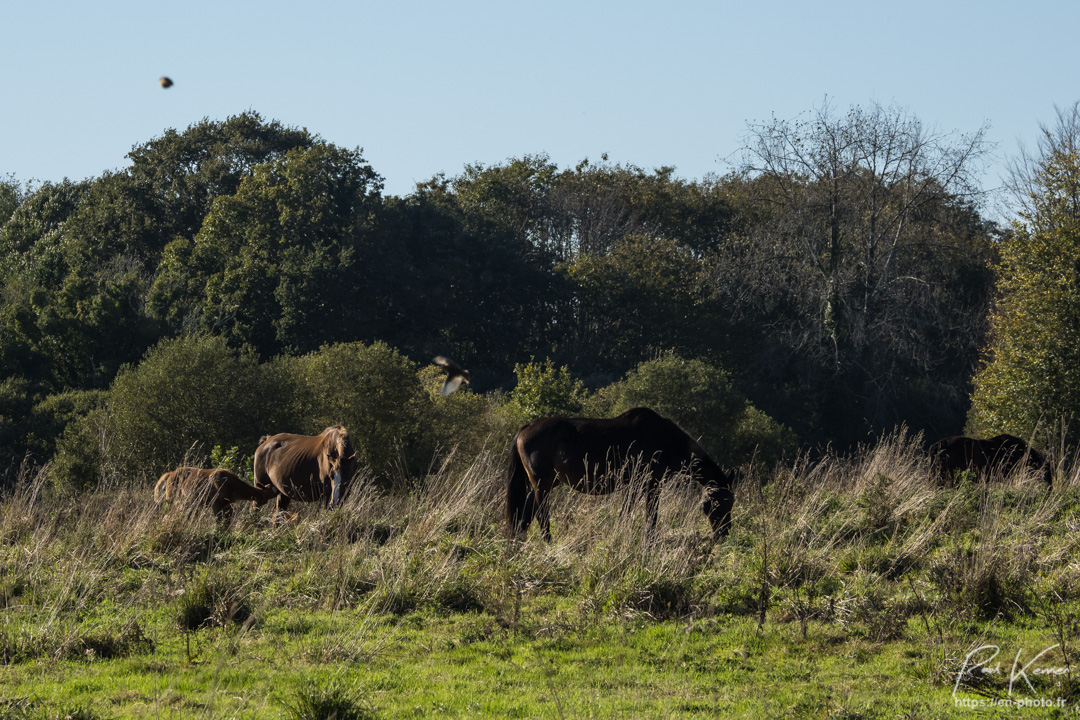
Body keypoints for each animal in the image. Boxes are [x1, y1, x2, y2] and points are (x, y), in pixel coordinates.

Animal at [503, 408, 734, 544]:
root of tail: (527, 427)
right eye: (714, 505)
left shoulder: (645, 485)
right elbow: (646, 514)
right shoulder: (649, 484)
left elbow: (636, 512)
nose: (724, 534)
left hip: (547, 483)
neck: (667, 439)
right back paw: (548, 541)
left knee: (526, 513)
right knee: (541, 514)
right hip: (542, 483)